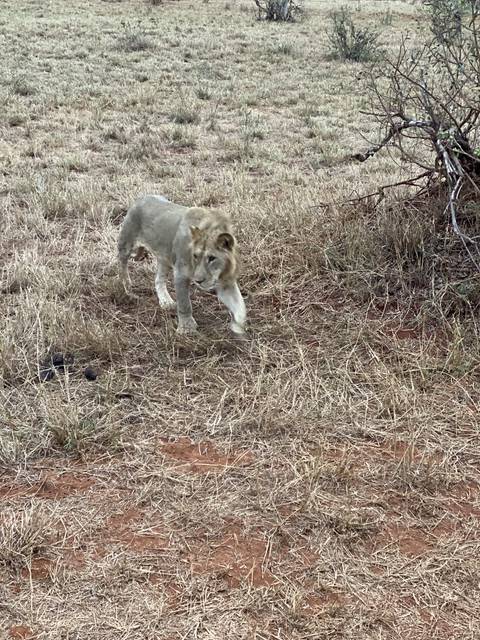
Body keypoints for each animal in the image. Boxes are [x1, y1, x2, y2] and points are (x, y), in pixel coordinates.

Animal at [117, 195, 247, 335]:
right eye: (195, 256)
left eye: (212, 258)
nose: (198, 281)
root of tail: (141, 197)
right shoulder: (181, 273)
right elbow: (184, 303)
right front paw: (186, 328)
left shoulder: (225, 282)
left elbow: (239, 304)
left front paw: (238, 326)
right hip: (127, 244)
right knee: (121, 263)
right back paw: (128, 288)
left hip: (164, 258)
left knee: (158, 279)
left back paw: (166, 302)